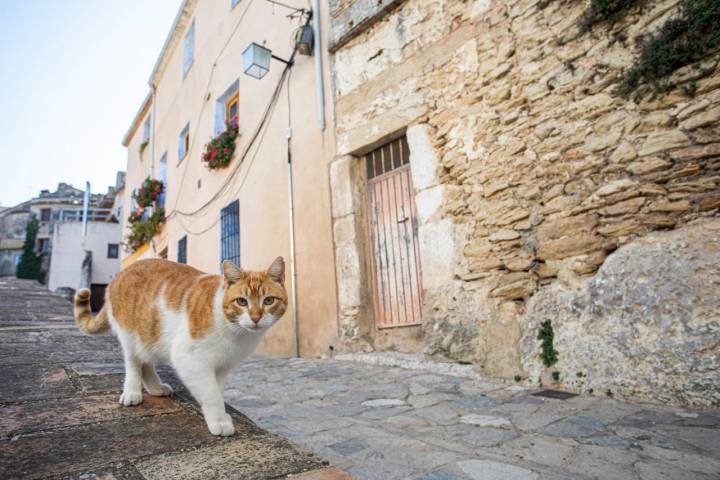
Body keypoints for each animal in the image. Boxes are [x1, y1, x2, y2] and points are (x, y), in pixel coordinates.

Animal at [74, 258, 286, 436]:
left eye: (269, 300)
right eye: (242, 301)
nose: (256, 317)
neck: (234, 329)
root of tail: (121, 273)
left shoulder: (221, 366)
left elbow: (217, 390)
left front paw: (219, 415)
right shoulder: (189, 358)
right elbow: (211, 394)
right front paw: (219, 421)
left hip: (149, 335)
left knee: (146, 361)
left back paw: (156, 387)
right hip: (130, 334)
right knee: (134, 361)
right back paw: (132, 392)